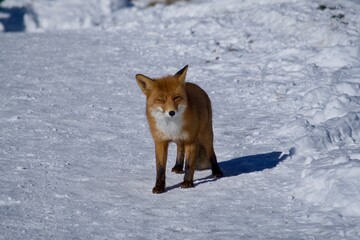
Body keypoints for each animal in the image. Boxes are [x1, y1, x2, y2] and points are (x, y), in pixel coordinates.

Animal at [136, 65, 224, 193]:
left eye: (176, 97)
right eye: (161, 100)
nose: (171, 112)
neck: (171, 126)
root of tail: (192, 84)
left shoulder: (190, 140)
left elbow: (189, 165)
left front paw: (187, 182)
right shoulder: (160, 141)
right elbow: (160, 168)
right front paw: (159, 187)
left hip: (205, 135)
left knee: (211, 153)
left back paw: (217, 172)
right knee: (180, 148)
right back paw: (178, 166)